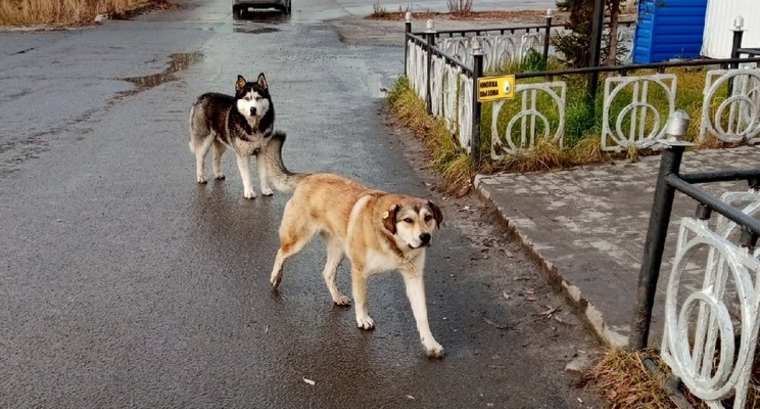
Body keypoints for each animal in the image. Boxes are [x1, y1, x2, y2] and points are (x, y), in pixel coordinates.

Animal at [260, 131, 446, 356]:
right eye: (408, 220)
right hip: (298, 240)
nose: (425, 237)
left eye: (428, 217)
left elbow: (422, 314)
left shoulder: (413, 277)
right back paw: (275, 277)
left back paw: (337, 297)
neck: (393, 243)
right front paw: (363, 319)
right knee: (281, 253)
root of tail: (308, 177)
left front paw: (430, 343)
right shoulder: (359, 271)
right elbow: (363, 299)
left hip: (338, 249)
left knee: (327, 273)